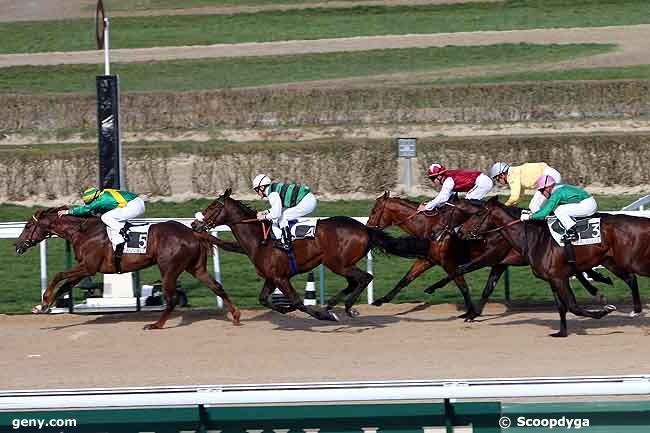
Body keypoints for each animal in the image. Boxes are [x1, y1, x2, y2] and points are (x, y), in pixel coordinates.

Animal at [14, 208, 243, 330]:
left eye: (27, 226)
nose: (16, 246)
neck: (83, 231)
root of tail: (192, 232)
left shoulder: (88, 266)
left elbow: (58, 274)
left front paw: (44, 300)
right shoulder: (84, 270)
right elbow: (64, 286)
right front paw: (43, 306)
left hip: (169, 268)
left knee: (171, 298)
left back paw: (156, 325)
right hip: (195, 267)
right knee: (217, 286)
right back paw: (236, 315)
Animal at [190, 187, 428, 318]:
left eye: (212, 207)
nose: (194, 224)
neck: (259, 238)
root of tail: (365, 228)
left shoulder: (280, 277)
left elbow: (297, 302)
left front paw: (323, 316)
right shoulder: (272, 277)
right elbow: (264, 299)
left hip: (338, 263)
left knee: (365, 278)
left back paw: (347, 307)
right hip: (340, 264)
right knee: (354, 281)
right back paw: (333, 304)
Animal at [456, 197, 648, 336]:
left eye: (478, 214)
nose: (459, 231)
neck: (534, 238)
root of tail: (643, 223)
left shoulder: (558, 277)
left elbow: (573, 306)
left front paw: (604, 311)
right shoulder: (552, 278)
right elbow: (562, 306)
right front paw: (561, 332)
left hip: (631, 261)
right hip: (612, 261)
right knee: (631, 278)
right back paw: (634, 309)